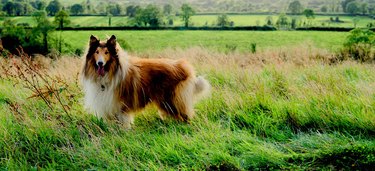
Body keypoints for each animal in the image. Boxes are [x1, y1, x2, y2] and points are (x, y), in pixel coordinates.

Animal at [81, 35, 210, 128]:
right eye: (97, 52)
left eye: (107, 52)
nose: (100, 63)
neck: (110, 73)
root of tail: (183, 66)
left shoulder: (123, 105)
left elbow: (124, 122)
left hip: (171, 100)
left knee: (185, 115)